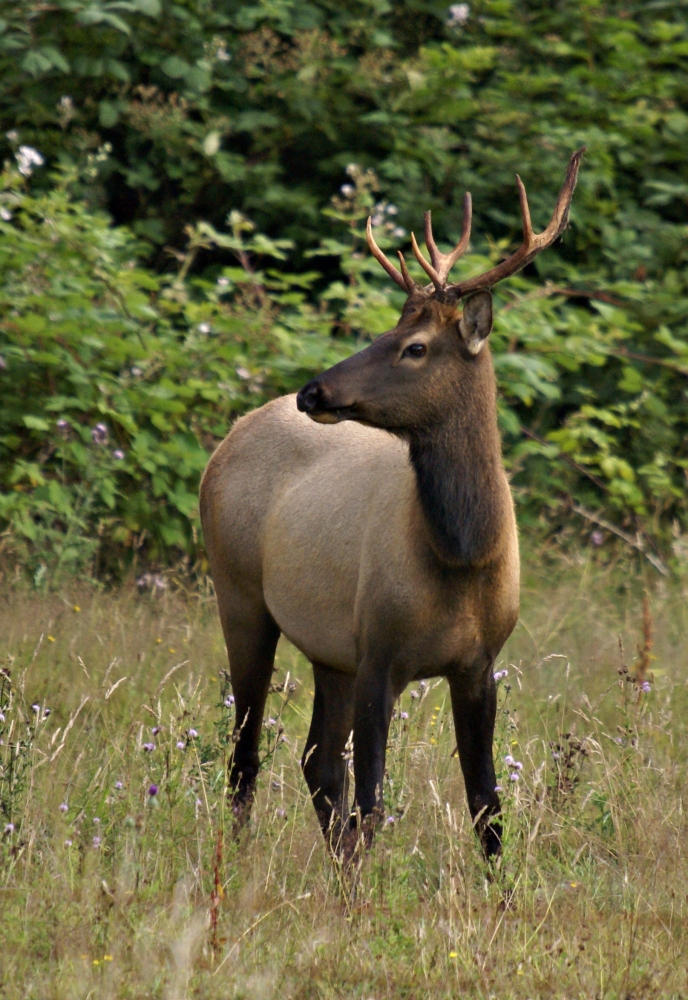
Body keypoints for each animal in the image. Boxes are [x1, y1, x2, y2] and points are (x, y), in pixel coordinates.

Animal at [199, 149, 583, 864]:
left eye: (415, 346)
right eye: (386, 329)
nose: (313, 391)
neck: (462, 556)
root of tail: (230, 437)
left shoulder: (478, 663)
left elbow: (486, 807)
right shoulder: (378, 648)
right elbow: (373, 803)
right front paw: (365, 893)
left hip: (328, 649)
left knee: (316, 762)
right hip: (238, 593)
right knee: (247, 753)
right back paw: (230, 865)